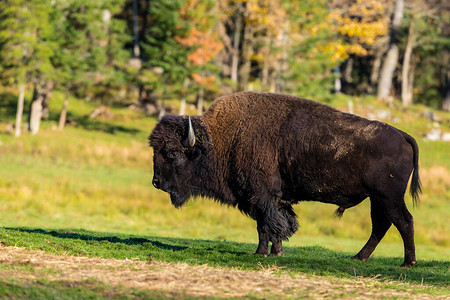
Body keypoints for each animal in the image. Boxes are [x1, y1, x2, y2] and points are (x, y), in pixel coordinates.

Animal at [149, 92, 420, 268]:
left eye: (172, 153)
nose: (156, 182)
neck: (221, 139)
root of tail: (402, 135)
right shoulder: (271, 200)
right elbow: (276, 225)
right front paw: (276, 253)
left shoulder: (260, 196)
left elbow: (265, 226)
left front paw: (260, 253)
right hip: (377, 199)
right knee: (382, 225)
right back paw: (359, 257)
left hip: (388, 197)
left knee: (403, 221)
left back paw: (408, 263)